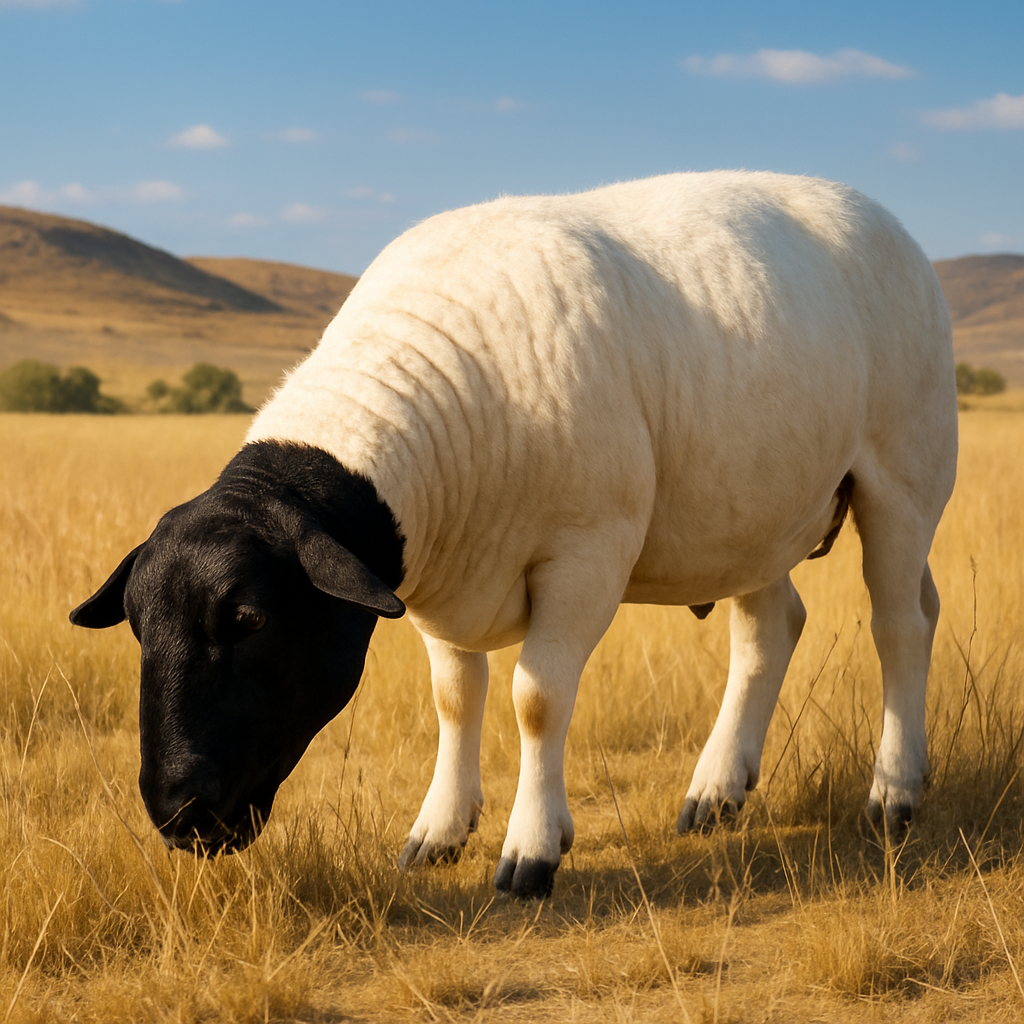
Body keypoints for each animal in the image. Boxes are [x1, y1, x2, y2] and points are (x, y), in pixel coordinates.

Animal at [71, 171, 958, 900]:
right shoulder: (435, 578)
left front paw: (531, 850)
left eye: (250, 620)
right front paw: (439, 830)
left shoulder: (586, 554)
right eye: (138, 627)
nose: (178, 814)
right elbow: (455, 697)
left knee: (901, 625)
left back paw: (893, 790)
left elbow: (536, 700)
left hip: (904, 473)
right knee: (771, 629)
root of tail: (873, 210)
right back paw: (716, 790)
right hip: (752, 509)